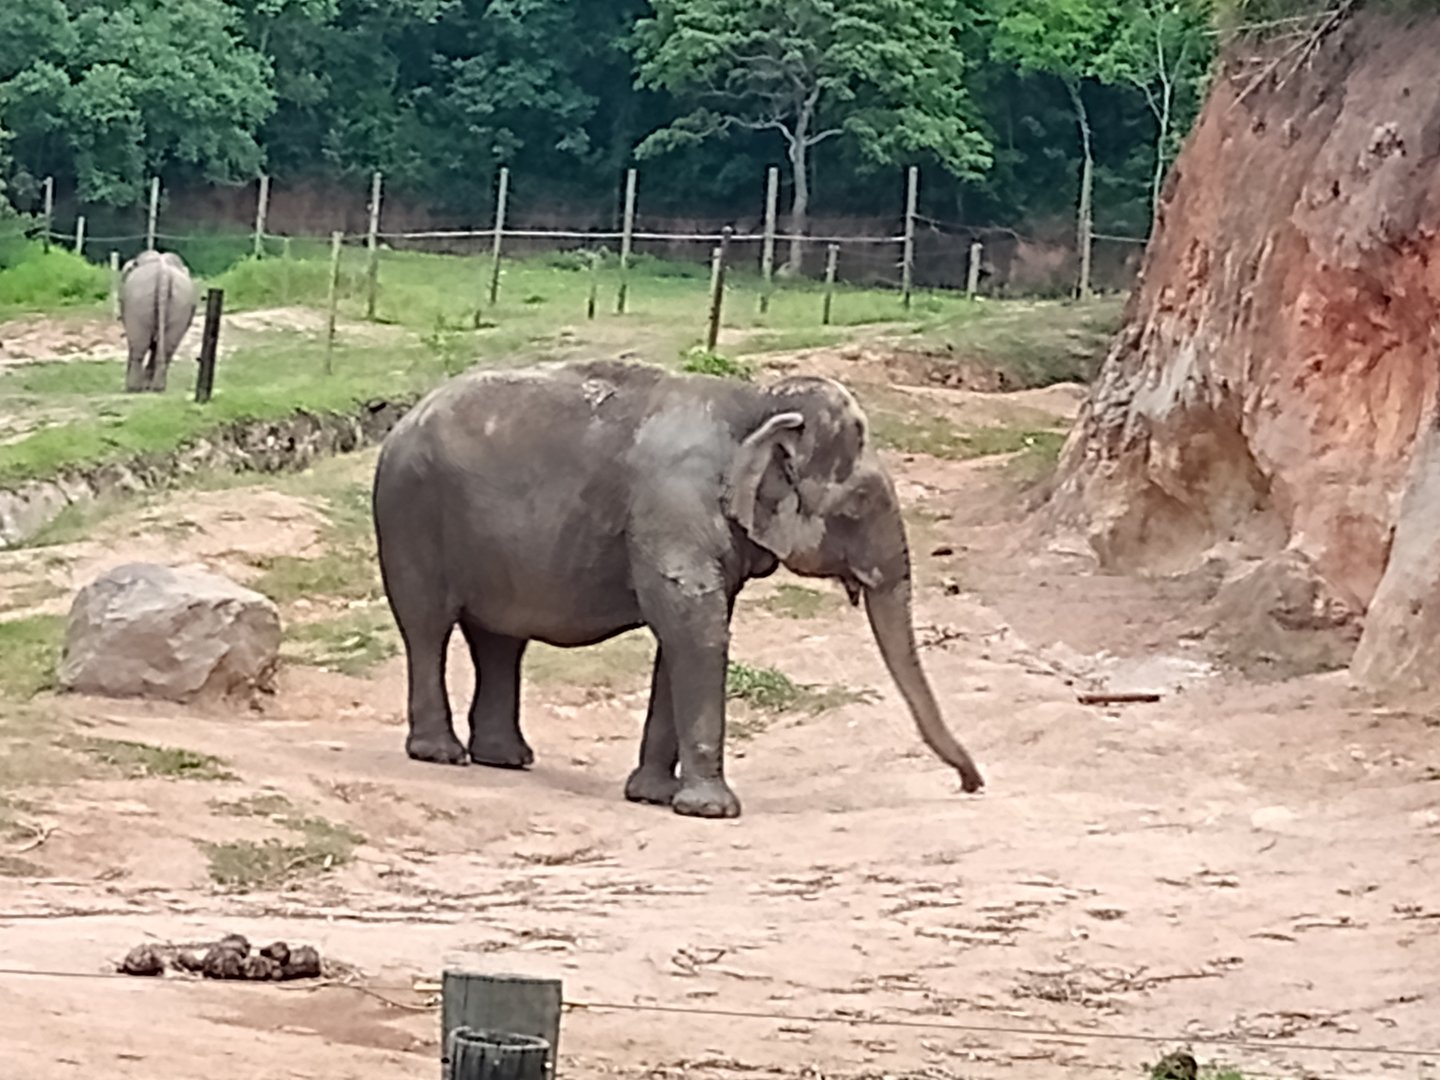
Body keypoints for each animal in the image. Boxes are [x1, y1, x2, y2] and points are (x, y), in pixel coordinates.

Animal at [118, 249, 197, 393]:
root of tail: (163, 272)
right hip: (181, 303)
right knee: (167, 347)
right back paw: (157, 387)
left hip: (138, 301)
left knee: (139, 345)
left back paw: (133, 388)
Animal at [371, 359, 984, 819]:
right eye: (856, 508)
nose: (971, 785)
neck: (756, 407)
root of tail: (404, 417)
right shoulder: (675, 504)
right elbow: (696, 627)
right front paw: (712, 810)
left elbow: (684, 637)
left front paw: (653, 796)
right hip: (409, 512)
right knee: (427, 625)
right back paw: (442, 755)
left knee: (500, 639)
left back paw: (506, 759)